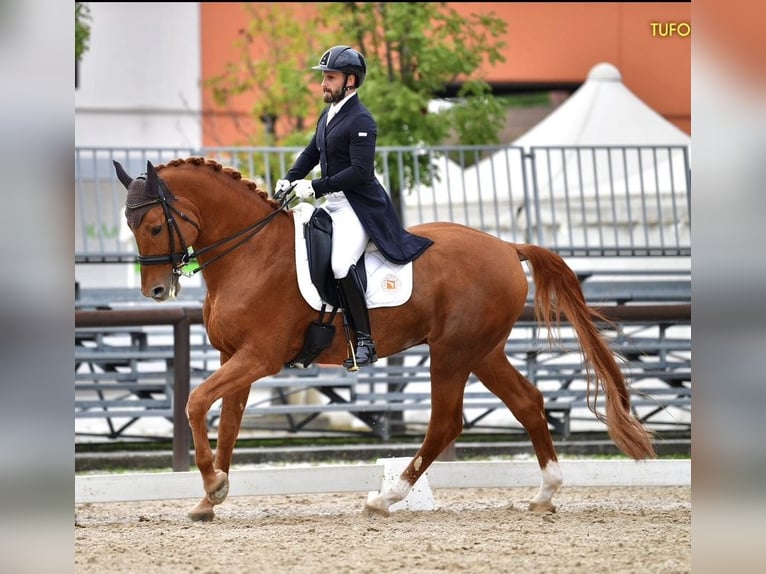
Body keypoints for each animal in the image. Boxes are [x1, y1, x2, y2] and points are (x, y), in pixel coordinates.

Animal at [112, 156, 656, 520]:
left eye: (155, 225)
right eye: (131, 225)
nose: (155, 291)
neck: (251, 252)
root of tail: (506, 245)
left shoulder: (259, 357)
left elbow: (195, 402)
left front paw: (211, 483)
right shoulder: (235, 356)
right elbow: (226, 423)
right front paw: (211, 496)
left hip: (453, 353)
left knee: (446, 423)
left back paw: (386, 497)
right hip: (483, 351)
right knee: (526, 402)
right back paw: (545, 493)